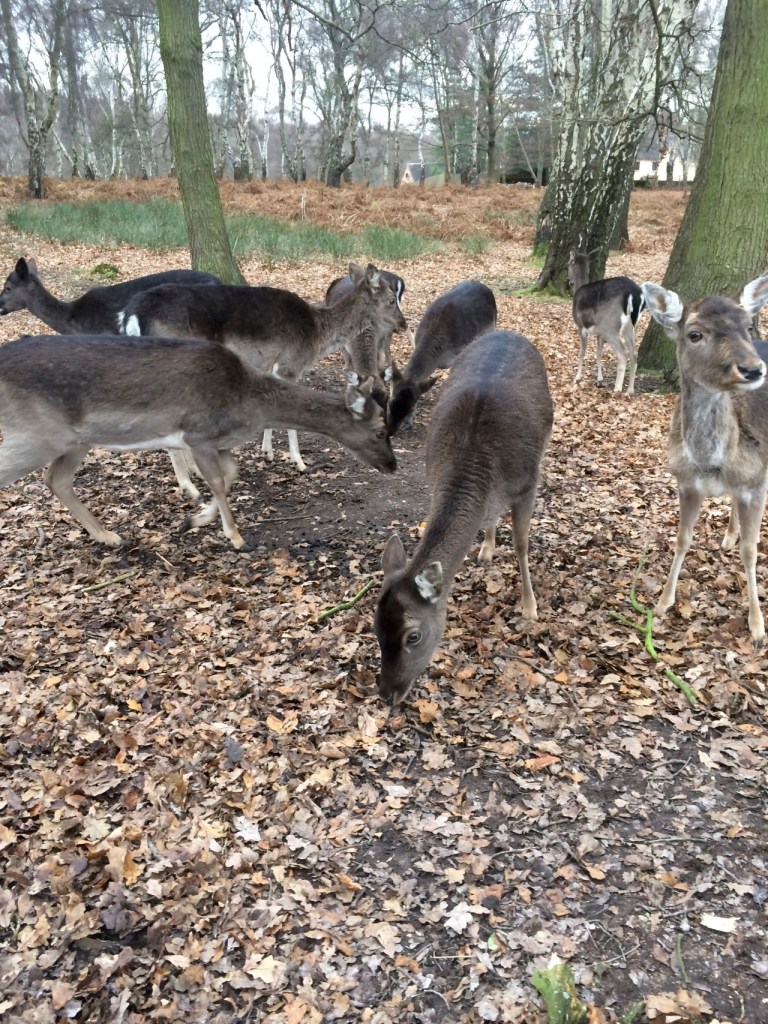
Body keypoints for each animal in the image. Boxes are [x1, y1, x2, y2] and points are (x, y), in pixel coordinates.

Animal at [0, 334, 396, 552]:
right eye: (381, 430)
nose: (393, 465)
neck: (248, 404)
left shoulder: (216, 441)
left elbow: (232, 473)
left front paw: (193, 520)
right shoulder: (199, 433)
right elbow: (219, 481)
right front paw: (235, 537)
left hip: (73, 440)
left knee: (56, 479)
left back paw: (108, 536)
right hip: (36, 434)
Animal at [120, 263, 405, 485]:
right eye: (392, 300)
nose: (403, 324)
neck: (317, 336)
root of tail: (131, 314)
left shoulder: (270, 367)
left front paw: (267, 453)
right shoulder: (289, 365)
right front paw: (299, 462)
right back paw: (188, 485)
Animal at [374, 329, 553, 704]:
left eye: (413, 636)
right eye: (375, 628)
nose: (386, 695)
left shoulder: (528, 483)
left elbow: (522, 544)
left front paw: (530, 608)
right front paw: (485, 548)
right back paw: (485, 549)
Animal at [568, 249, 645, 396]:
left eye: (567, 264)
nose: (569, 281)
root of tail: (634, 294)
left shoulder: (581, 326)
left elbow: (582, 352)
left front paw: (577, 378)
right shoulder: (599, 332)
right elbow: (599, 352)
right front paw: (599, 380)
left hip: (610, 325)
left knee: (623, 354)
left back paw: (617, 388)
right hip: (631, 327)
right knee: (634, 353)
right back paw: (630, 390)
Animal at [642, 273, 768, 647]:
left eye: (748, 326)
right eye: (695, 334)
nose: (753, 369)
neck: (712, 462)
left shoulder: (755, 483)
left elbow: (751, 550)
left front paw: (758, 628)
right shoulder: (686, 483)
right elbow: (682, 539)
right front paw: (663, 603)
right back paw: (727, 537)